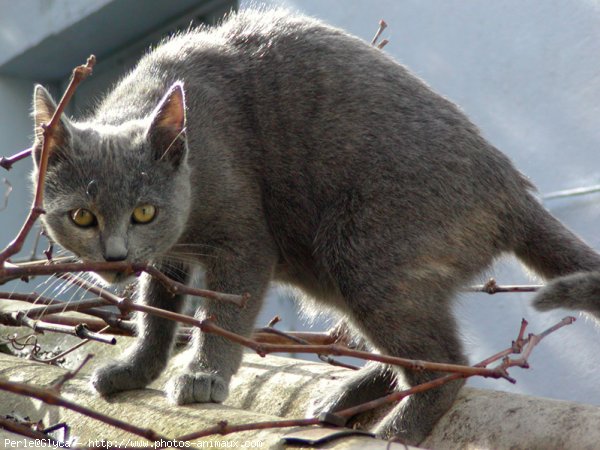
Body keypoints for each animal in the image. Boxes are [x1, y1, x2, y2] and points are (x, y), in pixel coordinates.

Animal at [30, 8, 600, 444]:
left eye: (143, 212)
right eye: (82, 216)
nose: (116, 256)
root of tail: (511, 188)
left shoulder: (244, 241)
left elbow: (223, 313)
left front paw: (204, 374)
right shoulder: (168, 257)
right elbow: (157, 311)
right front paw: (136, 369)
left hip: (361, 248)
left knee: (446, 361)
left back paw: (394, 431)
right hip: (334, 269)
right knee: (417, 350)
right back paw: (346, 397)